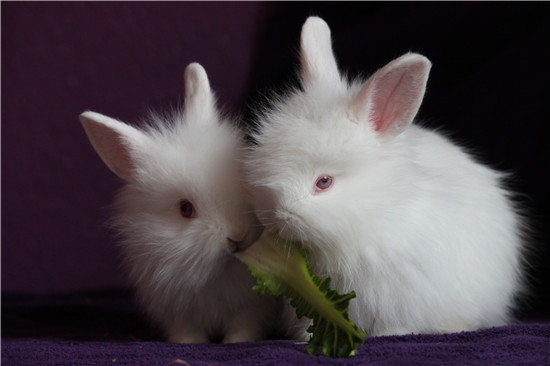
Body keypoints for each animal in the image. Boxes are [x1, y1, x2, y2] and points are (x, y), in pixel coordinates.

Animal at [78, 62, 284, 344]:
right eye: (185, 209)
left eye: (244, 186)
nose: (237, 237)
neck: (214, 274)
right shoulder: (177, 311)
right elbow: (187, 332)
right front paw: (191, 343)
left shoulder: (250, 309)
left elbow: (243, 328)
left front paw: (237, 342)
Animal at [247, 17, 532, 338]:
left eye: (324, 182)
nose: (276, 216)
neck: (374, 216)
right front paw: (302, 339)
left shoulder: (401, 297)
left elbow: (396, 323)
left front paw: (389, 335)